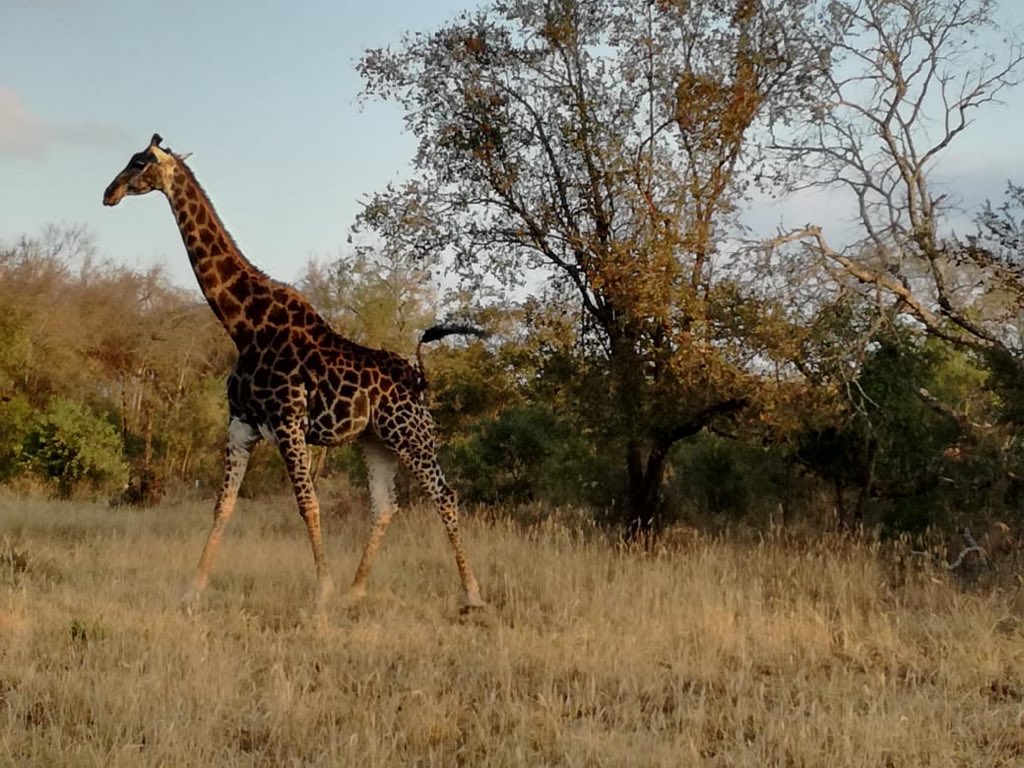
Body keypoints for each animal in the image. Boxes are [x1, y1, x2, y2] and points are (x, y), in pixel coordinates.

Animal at [103, 134, 485, 612]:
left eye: (140, 162)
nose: (109, 193)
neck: (243, 325)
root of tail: (418, 374)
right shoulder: (241, 424)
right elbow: (222, 506)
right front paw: (192, 591)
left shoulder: (288, 421)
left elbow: (307, 503)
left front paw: (322, 590)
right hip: (375, 440)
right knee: (385, 506)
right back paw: (356, 591)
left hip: (410, 433)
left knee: (444, 496)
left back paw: (472, 594)